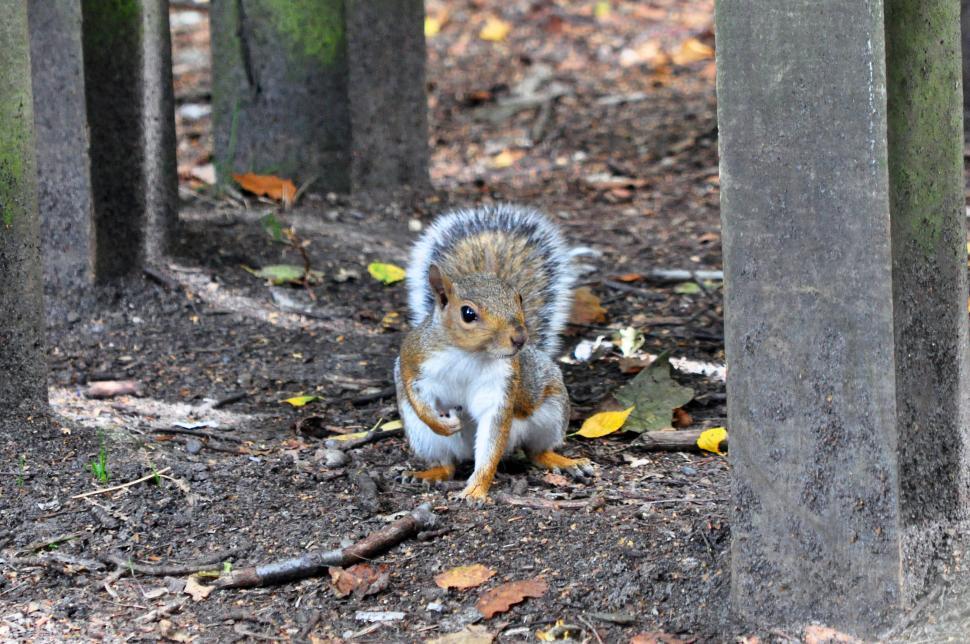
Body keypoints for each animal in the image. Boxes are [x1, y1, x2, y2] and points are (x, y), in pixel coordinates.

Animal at [394, 204, 594, 504]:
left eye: (519, 298)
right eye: (468, 313)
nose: (520, 338)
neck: (468, 354)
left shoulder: (501, 387)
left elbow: (491, 441)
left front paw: (476, 490)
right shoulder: (415, 358)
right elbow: (414, 393)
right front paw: (440, 423)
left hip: (552, 408)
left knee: (536, 451)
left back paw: (566, 462)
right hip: (424, 439)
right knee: (447, 464)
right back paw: (428, 473)